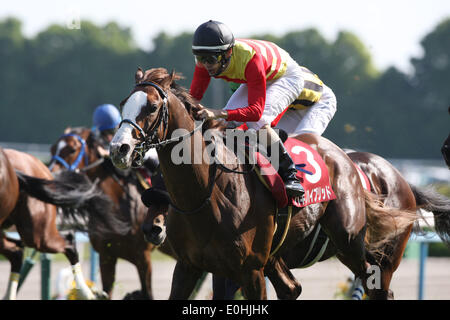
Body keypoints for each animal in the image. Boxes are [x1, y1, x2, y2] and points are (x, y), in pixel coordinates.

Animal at [49, 126, 169, 298]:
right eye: (52, 149)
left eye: (72, 149)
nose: (51, 175)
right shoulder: (107, 256)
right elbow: (107, 292)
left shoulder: (143, 257)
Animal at [108, 68, 450, 300]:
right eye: (123, 103)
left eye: (152, 107)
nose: (119, 149)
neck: (208, 192)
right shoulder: (191, 267)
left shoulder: (248, 270)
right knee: (292, 289)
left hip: (356, 245)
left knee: (377, 288)